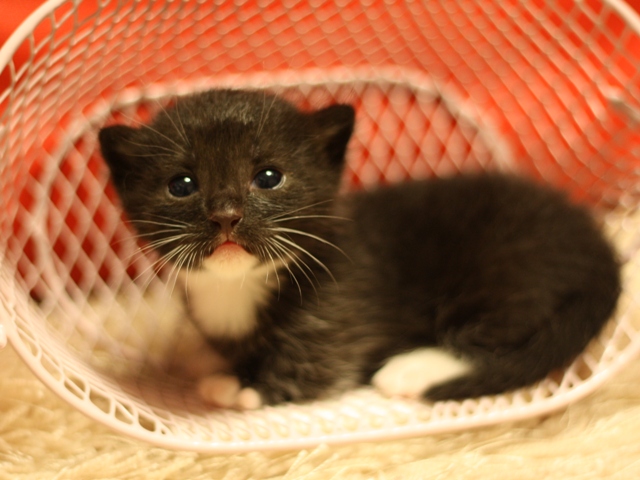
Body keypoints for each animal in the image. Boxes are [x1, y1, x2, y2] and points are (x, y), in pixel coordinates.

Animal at [99, 90, 620, 408]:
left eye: (268, 176)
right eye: (181, 185)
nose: (226, 214)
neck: (240, 286)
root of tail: (599, 248)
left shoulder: (339, 314)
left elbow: (313, 367)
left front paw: (243, 388)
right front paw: (212, 362)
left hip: (503, 269)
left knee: (497, 336)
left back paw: (410, 371)